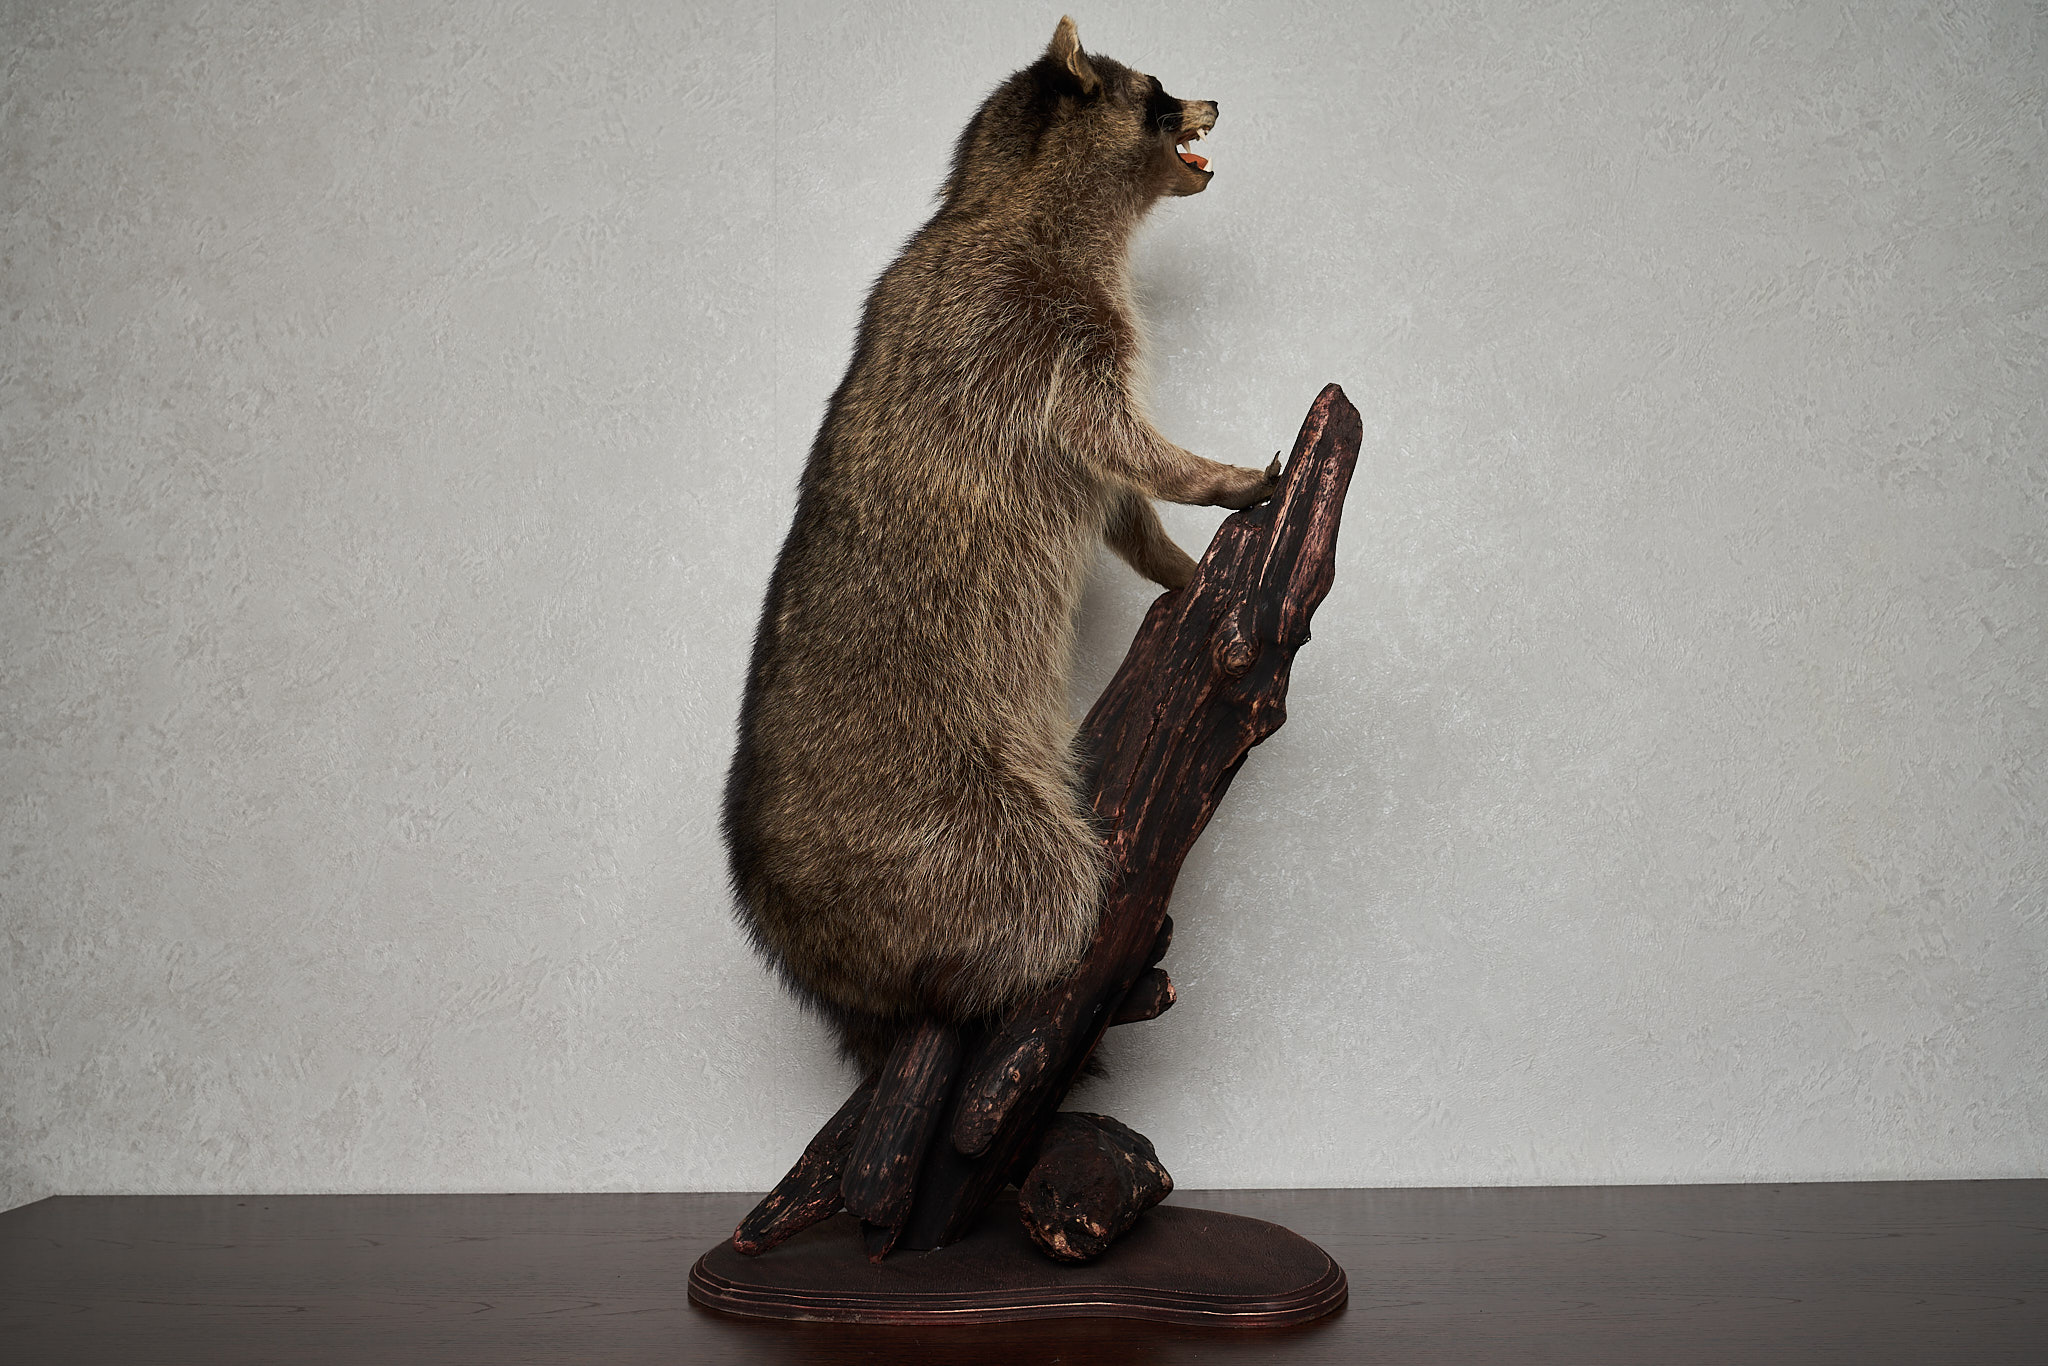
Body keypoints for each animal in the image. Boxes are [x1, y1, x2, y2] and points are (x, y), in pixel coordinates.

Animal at [722, 17, 1276, 1074]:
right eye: (1157, 89)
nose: (1216, 100)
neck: (1006, 194)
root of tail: (798, 935)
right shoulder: (1029, 327)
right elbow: (1111, 437)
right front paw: (1201, 476)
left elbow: (1110, 500)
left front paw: (1171, 559)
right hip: (952, 825)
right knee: (1047, 891)